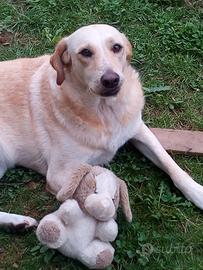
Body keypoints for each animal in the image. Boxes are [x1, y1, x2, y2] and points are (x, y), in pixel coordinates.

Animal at [0, 23, 203, 230]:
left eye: (116, 47)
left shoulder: (139, 129)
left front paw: (198, 192)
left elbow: (170, 164)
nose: (111, 79)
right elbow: (85, 190)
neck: (105, 112)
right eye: (86, 52)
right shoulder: (59, 174)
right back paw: (17, 221)